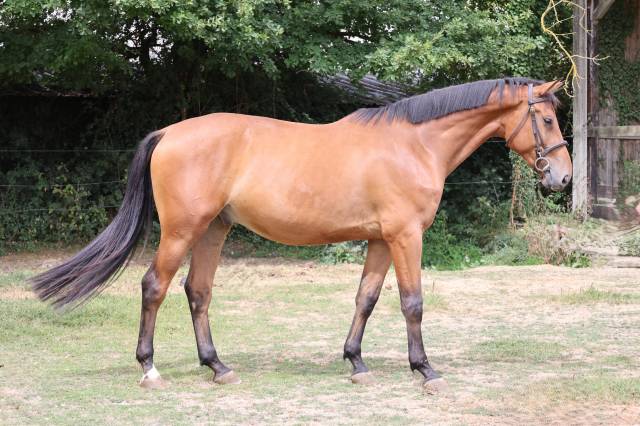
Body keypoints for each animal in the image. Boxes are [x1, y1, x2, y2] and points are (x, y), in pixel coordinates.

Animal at [32, 77, 572, 393]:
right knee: (154, 287)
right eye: (546, 118)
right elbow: (412, 302)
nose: (563, 179)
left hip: (212, 231)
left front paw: (356, 362)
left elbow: (366, 299)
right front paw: (426, 370)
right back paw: (149, 369)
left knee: (197, 292)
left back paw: (218, 366)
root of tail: (169, 133)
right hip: (183, 232)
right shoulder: (405, 237)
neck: (414, 144)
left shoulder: (381, 239)